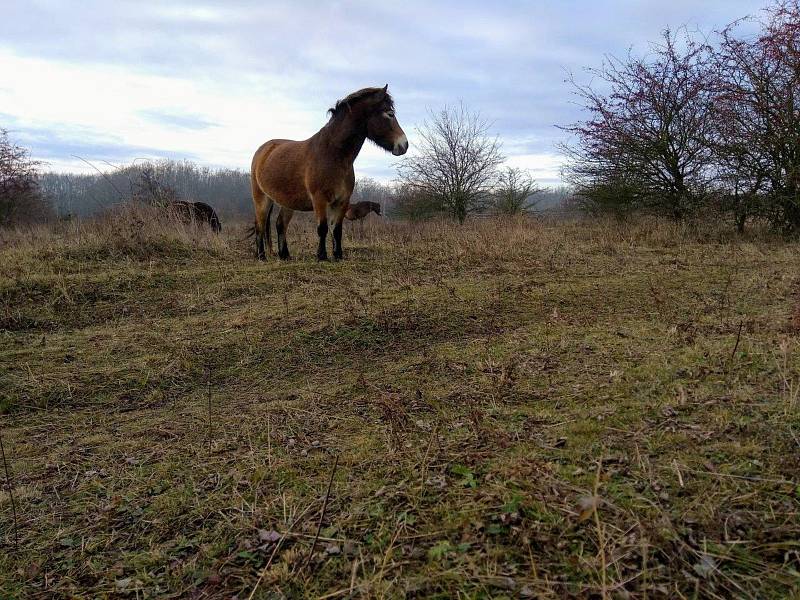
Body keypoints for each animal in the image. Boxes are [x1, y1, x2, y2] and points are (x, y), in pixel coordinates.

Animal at [248, 85, 406, 260]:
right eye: (389, 114)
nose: (404, 144)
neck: (332, 155)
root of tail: (264, 150)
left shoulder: (342, 201)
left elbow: (336, 230)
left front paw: (338, 255)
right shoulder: (320, 199)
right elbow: (322, 228)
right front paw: (322, 255)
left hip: (287, 202)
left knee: (280, 224)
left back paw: (285, 256)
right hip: (262, 198)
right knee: (260, 225)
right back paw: (261, 256)